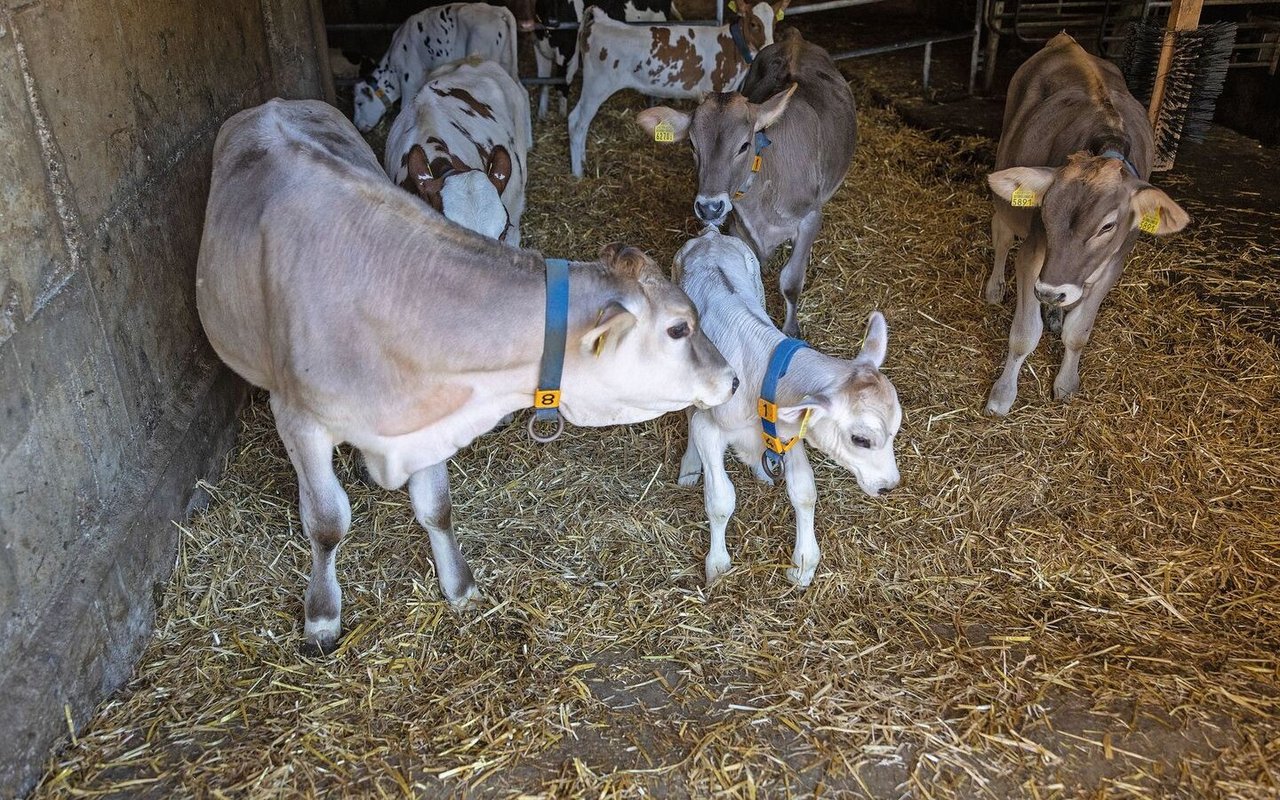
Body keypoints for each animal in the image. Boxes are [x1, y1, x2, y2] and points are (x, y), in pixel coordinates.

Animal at [568, 0, 783, 177]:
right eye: (754, 23)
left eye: (774, 23)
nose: (770, 46)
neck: (731, 48)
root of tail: (601, 20)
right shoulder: (718, 88)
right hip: (597, 85)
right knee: (577, 122)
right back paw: (578, 173)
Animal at [670, 229, 901, 586]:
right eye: (861, 439)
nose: (889, 487)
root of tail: (711, 235)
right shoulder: (710, 428)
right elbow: (721, 500)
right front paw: (718, 566)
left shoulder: (791, 430)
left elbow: (804, 491)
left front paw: (804, 564)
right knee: (689, 412)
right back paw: (691, 466)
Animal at [977, 32, 1187, 412]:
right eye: (1046, 210)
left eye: (1108, 226)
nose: (1050, 291)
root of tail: (1066, 40)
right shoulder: (1033, 256)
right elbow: (1024, 335)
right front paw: (1002, 395)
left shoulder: (1112, 265)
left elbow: (1078, 333)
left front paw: (1066, 383)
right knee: (1001, 235)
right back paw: (997, 288)